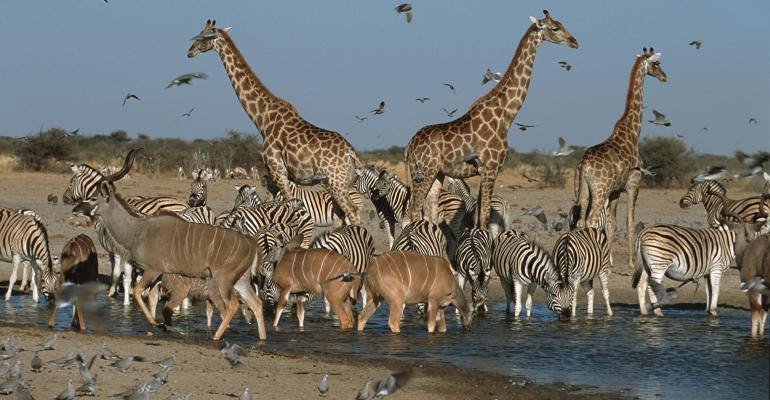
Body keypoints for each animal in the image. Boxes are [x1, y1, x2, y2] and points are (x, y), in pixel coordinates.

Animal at [91, 153, 276, 340]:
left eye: (93, 198)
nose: (82, 209)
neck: (138, 228)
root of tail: (251, 244)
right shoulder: (157, 274)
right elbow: (152, 298)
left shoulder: (154, 270)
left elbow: (142, 293)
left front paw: (159, 324)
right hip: (237, 280)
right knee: (254, 303)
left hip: (223, 280)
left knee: (233, 305)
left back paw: (215, 336)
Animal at [188, 20, 364, 225]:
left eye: (203, 36)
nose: (190, 51)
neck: (263, 120)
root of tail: (351, 153)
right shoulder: (272, 175)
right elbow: (268, 206)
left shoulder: (277, 169)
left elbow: (287, 205)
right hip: (338, 182)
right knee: (341, 215)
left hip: (336, 182)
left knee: (352, 212)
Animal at [402, 10, 576, 231]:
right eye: (555, 28)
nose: (574, 42)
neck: (505, 115)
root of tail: (409, 146)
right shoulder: (491, 167)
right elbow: (484, 216)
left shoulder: (485, 169)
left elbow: (478, 216)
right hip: (424, 171)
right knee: (413, 212)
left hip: (436, 174)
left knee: (428, 214)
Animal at [568, 47, 664, 268]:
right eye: (656, 64)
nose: (665, 77)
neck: (632, 133)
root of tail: (583, 165)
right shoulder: (633, 184)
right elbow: (630, 221)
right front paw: (631, 263)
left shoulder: (615, 191)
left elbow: (611, 223)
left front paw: (610, 261)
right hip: (599, 191)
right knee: (591, 220)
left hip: (584, 190)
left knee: (580, 220)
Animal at [628, 220, 764, 318]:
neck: (727, 243)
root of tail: (643, 232)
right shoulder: (716, 268)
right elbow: (716, 290)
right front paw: (714, 313)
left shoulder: (708, 272)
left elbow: (709, 291)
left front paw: (709, 313)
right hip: (659, 265)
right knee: (651, 288)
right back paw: (658, 313)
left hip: (647, 266)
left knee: (641, 286)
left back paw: (644, 313)